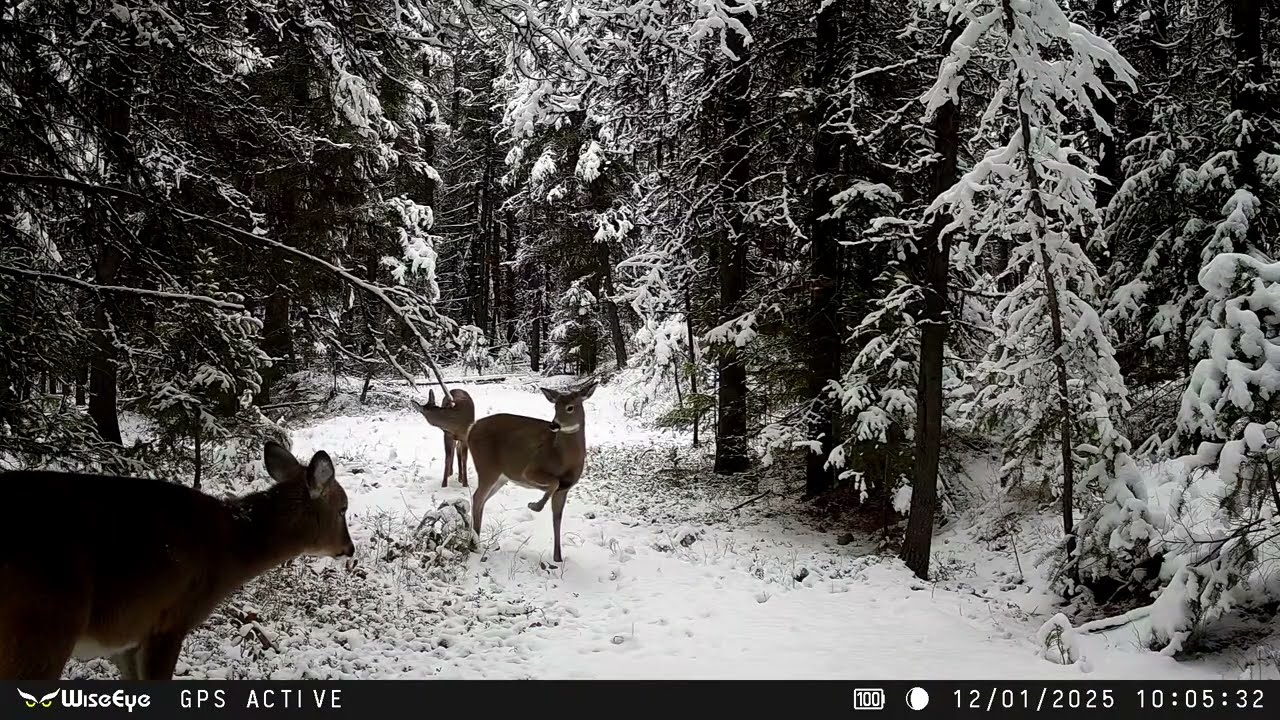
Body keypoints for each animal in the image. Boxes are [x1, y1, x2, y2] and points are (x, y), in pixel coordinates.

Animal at [0, 440, 355, 681]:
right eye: (343, 509)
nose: (349, 549)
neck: (229, 550)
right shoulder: (169, 620)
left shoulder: (125, 639)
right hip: (41, 625)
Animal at [466, 379, 598, 563]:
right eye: (555, 406)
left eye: (570, 407)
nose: (554, 424)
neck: (561, 456)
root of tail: (471, 428)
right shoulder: (530, 470)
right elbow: (553, 482)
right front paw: (534, 506)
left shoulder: (565, 488)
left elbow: (557, 518)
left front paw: (558, 558)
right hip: (487, 466)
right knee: (477, 497)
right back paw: (475, 545)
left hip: (501, 476)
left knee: (482, 499)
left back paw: (475, 542)